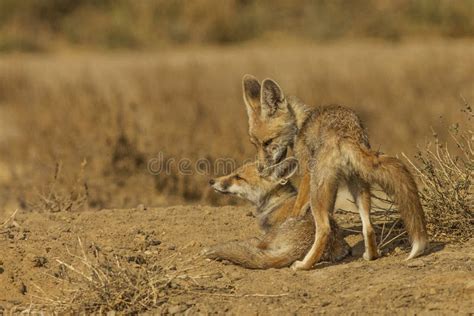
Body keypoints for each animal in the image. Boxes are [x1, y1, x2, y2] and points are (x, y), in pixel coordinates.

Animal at [244, 73, 430, 270]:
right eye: (255, 143)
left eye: (268, 142)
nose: (261, 168)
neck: (301, 125)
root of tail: (345, 132)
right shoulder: (333, 189)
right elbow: (332, 214)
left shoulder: (306, 174)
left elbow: (297, 210)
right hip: (357, 186)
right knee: (368, 227)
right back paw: (370, 255)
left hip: (317, 190)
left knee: (325, 229)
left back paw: (304, 264)